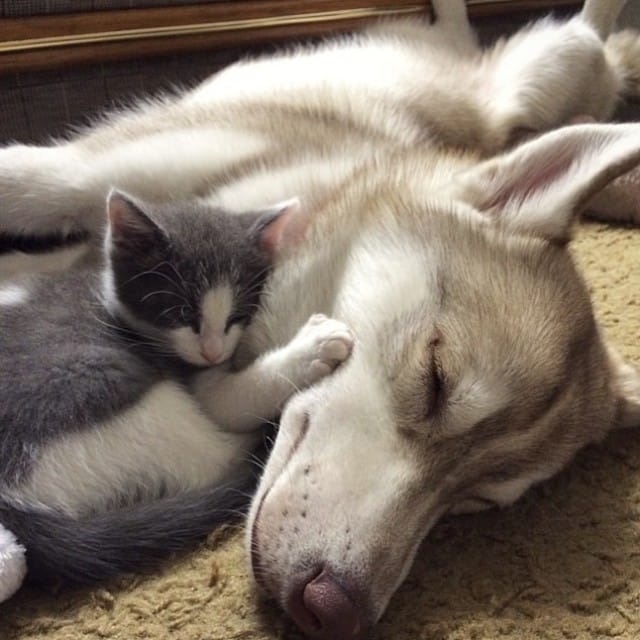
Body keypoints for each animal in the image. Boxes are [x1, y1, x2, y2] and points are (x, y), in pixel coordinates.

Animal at [1, 1, 640, 640]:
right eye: (435, 381)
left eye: (477, 499)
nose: (333, 608)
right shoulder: (86, 172)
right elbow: (31, 188)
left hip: (550, 69)